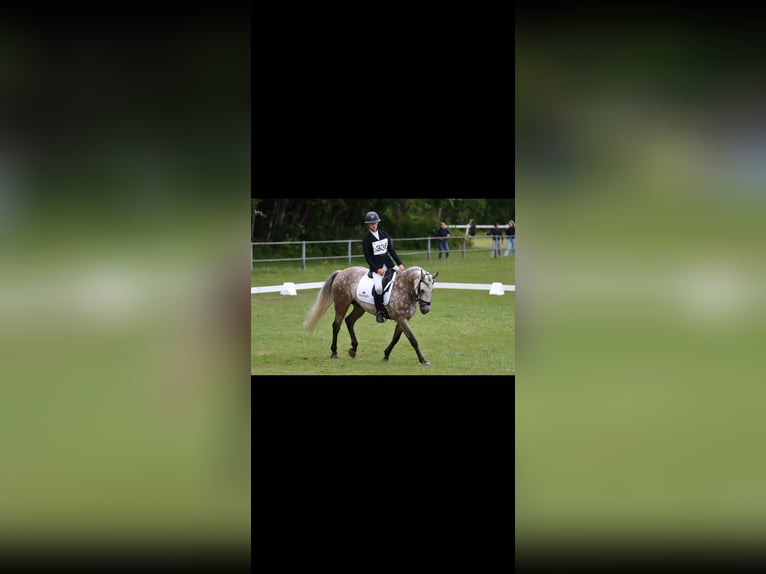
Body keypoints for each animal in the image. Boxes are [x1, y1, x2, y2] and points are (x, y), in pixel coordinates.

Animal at [303, 266, 438, 365]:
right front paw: (423, 360)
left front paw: (386, 355)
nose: (425, 309)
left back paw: (353, 349)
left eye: (432, 290)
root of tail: (341, 272)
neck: (404, 288)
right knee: (336, 325)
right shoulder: (401, 319)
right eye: (422, 290)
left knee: (349, 321)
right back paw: (334, 352)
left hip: (359, 307)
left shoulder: (403, 319)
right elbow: (412, 340)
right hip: (342, 305)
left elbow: (395, 338)